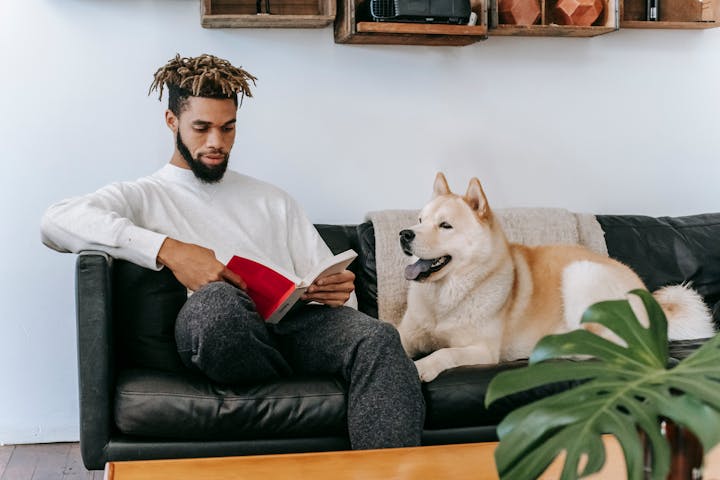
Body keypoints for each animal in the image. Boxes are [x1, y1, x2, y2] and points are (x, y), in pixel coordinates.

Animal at [396, 172, 716, 382]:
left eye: (445, 226)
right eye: (420, 220)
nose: (404, 234)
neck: (444, 298)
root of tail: (648, 295)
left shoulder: (482, 350)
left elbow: (445, 353)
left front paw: (423, 366)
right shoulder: (408, 333)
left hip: (581, 274)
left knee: (604, 343)